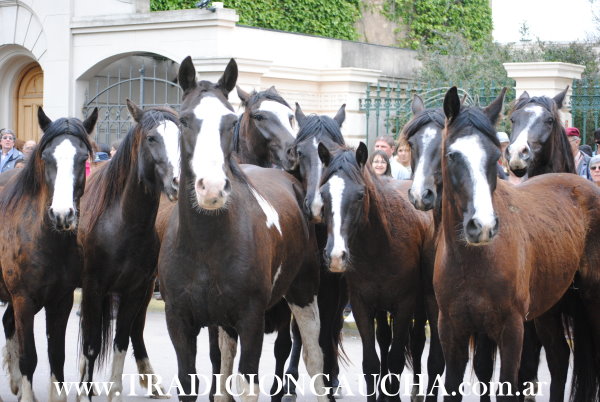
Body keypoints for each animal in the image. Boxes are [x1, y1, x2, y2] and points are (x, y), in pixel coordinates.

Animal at [0, 106, 96, 402]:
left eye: (83, 158)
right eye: (46, 157)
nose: (62, 215)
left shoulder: (61, 300)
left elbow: (56, 355)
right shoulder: (23, 300)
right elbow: (29, 357)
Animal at [76, 99, 178, 398]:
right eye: (151, 138)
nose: (177, 182)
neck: (122, 224)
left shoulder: (135, 289)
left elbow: (121, 340)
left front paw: (114, 390)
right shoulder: (93, 286)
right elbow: (92, 344)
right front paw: (84, 391)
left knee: (134, 331)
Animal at [159, 56, 326, 402]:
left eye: (230, 121)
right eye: (184, 121)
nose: (211, 188)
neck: (204, 245)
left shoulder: (251, 319)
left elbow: (250, 382)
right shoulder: (179, 321)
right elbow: (195, 379)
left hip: (303, 291)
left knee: (313, 355)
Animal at [316, 143, 434, 402]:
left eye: (360, 195)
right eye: (324, 194)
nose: (335, 256)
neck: (380, 246)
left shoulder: (405, 304)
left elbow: (397, 359)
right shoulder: (362, 305)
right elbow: (371, 361)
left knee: (417, 341)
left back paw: (416, 390)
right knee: (384, 339)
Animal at [436, 85, 600, 402]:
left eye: (492, 155)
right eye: (452, 154)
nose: (483, 226)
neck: (472, 260)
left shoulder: (512, 330)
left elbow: (510, 385)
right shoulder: (452, 329)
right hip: (548, 309)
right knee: (559, 357)